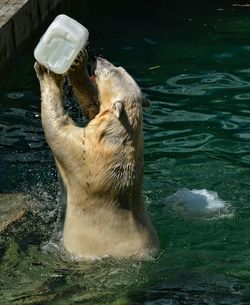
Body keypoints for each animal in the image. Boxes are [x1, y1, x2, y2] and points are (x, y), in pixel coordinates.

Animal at [34, 51, 158, 256]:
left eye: (112, 71)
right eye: (119, 67)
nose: (98, 59)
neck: (118, 141)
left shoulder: (84, 155)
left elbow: (57, 129)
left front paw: (47, 71)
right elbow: (94, 107)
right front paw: (77, 64)